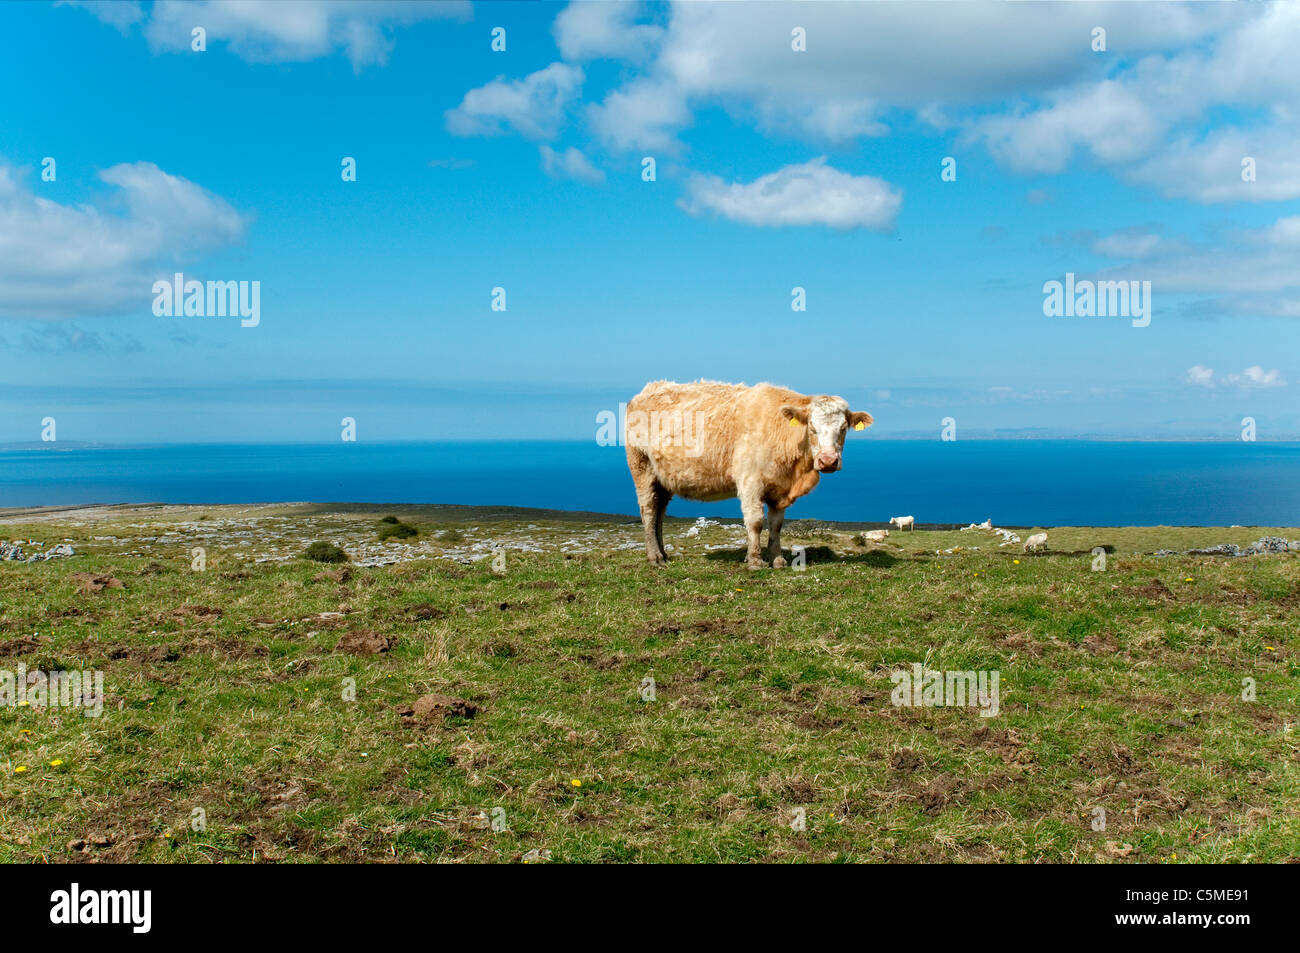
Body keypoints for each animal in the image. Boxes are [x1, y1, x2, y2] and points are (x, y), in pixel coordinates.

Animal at [624, 381, 873, 569]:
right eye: (812, 427)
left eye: (843, 428)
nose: (828, 461)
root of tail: (648, 389)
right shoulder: (750, 482)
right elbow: (755, 522)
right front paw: (755, 561)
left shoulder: (779, 489)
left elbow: (776, 525)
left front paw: (777, 559)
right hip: (642, 467)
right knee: (648, 510)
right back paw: (654, 557)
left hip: (664, 479)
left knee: (659, 512)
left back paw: (663, 554)